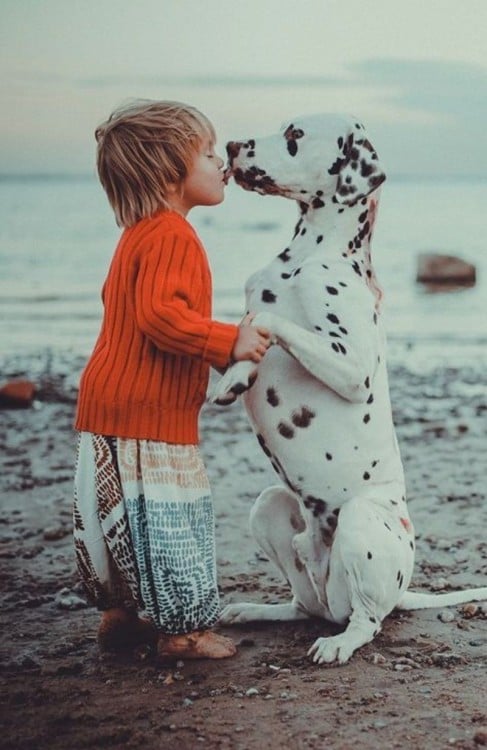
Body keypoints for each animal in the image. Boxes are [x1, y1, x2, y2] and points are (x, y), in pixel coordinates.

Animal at [212, 114, 487, 668]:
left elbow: (268, 320)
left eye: (295, 135)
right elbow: (252, 324)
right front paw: (237, 373)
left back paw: (341, 642)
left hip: (361, 524)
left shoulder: (353, 368)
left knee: (366, 622)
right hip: (269, 508)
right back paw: (254, 610)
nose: (230, 145)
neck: (311, 254)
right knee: (303, 606)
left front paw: (238, 371)